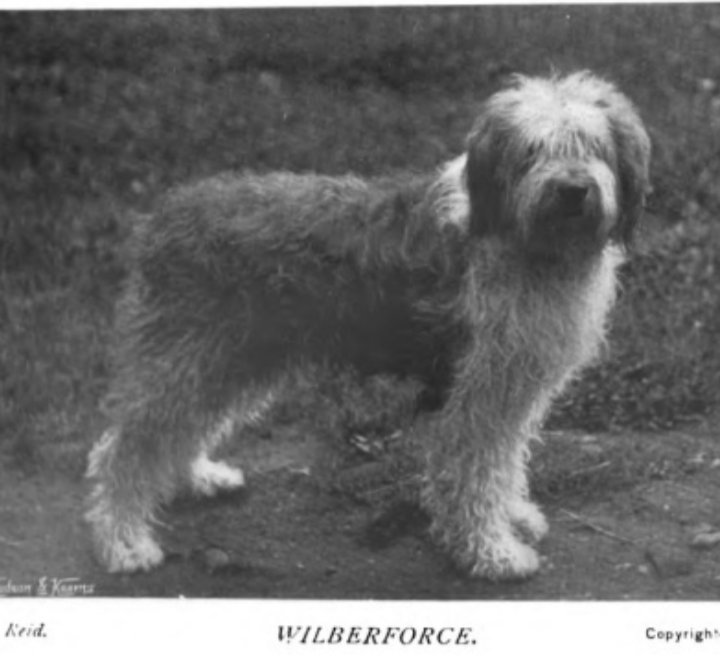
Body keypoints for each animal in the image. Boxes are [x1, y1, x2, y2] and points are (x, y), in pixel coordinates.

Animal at [86, 71, 650, 579]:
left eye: (592, 145)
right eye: (532, 150)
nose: (573, 190)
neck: (520, 237)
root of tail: (163, 215)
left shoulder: (510, 388)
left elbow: (503, 462)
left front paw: (513, 517)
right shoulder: (474, 393)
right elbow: (472, 474)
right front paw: (492, 553)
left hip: (226, 360)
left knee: (180, 432)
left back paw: (199, 477)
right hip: (189, 358)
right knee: (123, 450)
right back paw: (123, 544)